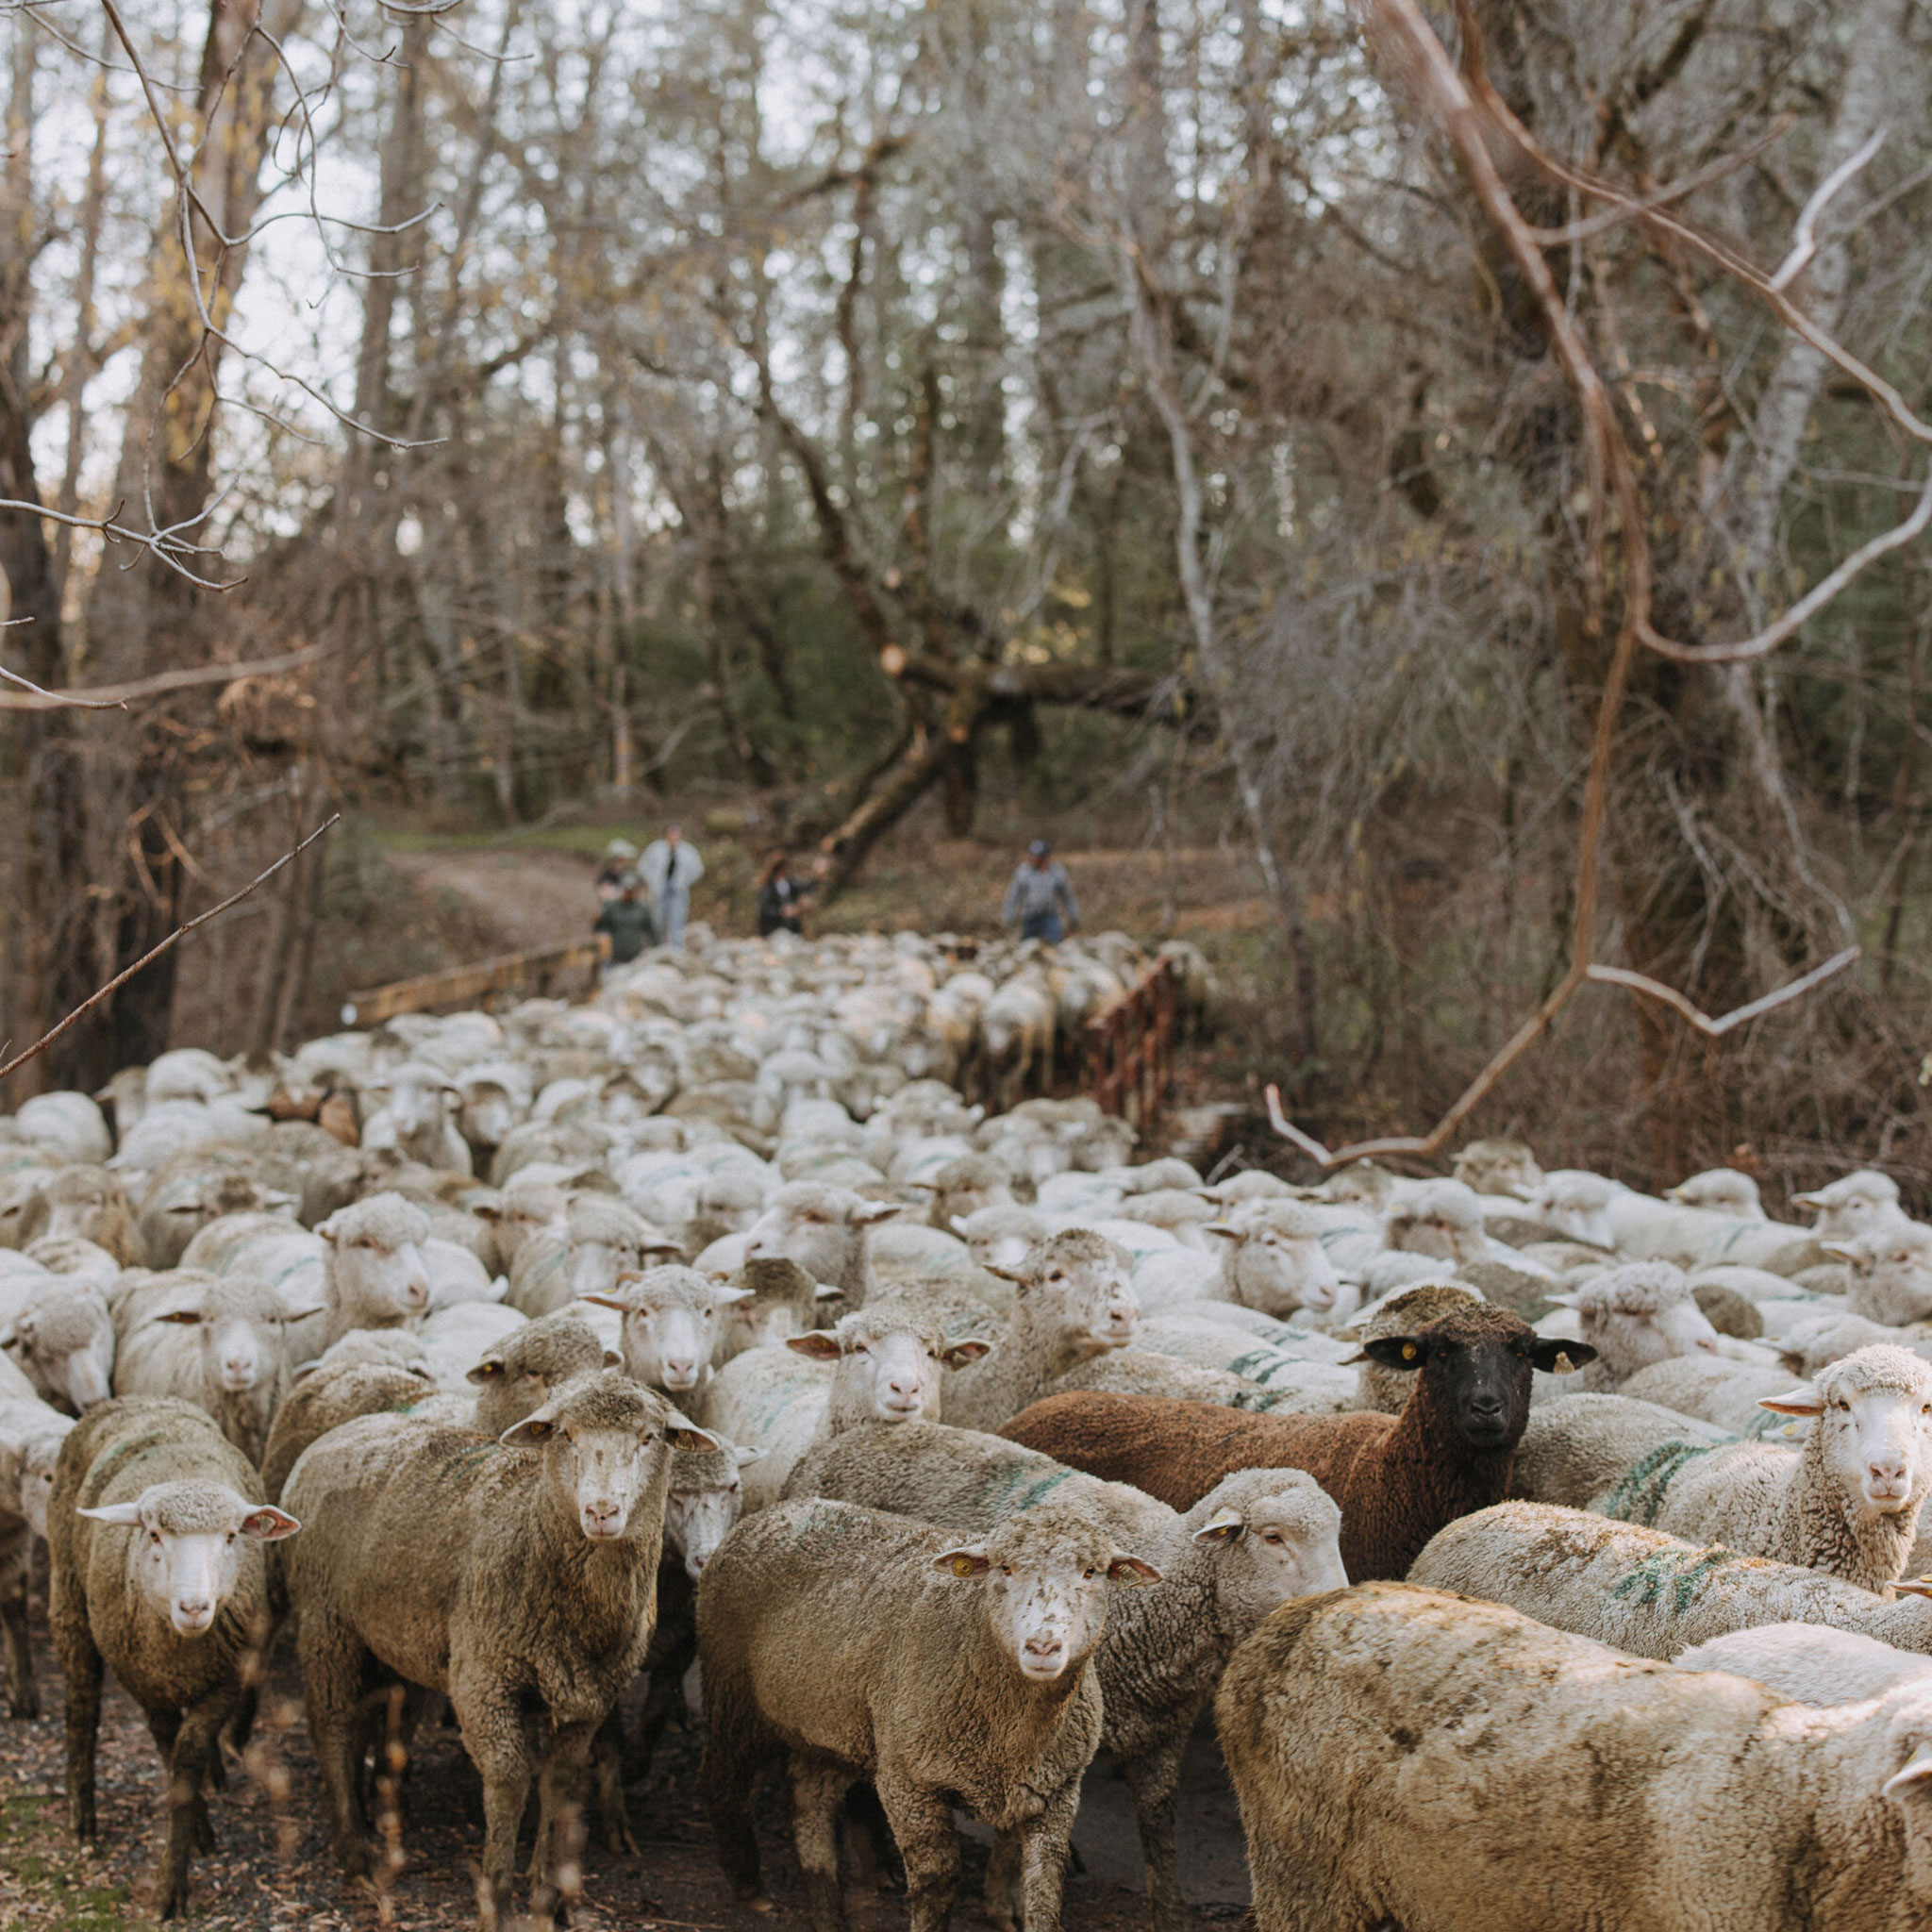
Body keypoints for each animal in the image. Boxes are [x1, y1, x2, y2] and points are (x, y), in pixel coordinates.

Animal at [49, 1396, 300, 1919]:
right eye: (153, 1534)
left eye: (232, 1536)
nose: (193, 1607)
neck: (181, 1648)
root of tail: (135, 1399)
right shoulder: (145, 1682)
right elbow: (170, 1753)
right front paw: (190, 1847)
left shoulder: (226, 1678)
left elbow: (188, 1753)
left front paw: (182, 1857)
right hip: (68, 1592)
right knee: (81, 1707)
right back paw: (82, 1818)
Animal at [283, 1370, 713, 1925]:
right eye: (564, 1435)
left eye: (649, 1437)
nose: (602, 1511)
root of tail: (339, 1432)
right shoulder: (483, 1677)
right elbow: (509, 1781)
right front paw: (499, 1898)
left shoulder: (589, 1696)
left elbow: (560, 1783)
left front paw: (549, 1894)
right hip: (325, 1618)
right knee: (332, 1725)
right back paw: (355, 1855)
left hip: (385, 1634)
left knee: (373, 1717)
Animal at [697, 1497, 1151, 1932]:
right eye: (1004, 1567)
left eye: (1092, 1572)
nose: (1043, 1647)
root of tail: (774, 1511)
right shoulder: (907, 1781)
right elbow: (938, 1881)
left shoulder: (1057, 1791)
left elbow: (1043, 1888)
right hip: (732, 1691)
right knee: (725, 1783)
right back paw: (751, 1889)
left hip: (832, 1725)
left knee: (810, 1801)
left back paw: (826, 1909)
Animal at [786, 1420, 1344, 1932]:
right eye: (1273, 1537)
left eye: (1336, 1535)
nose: (1338, 1604)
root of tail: (854, 1433)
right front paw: (1003, 1901)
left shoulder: (1161, 1735)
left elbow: (1159, 1828)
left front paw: (1168, 1913)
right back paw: (870, 1858)